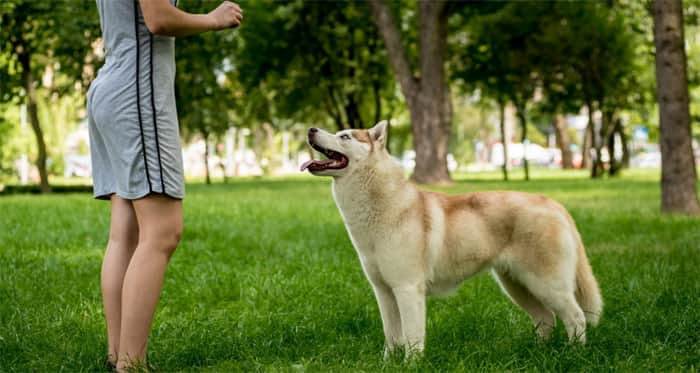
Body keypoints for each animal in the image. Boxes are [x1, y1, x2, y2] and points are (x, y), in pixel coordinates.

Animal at [300, 121, 600, 358]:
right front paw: (388, 363)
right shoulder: (383, 291)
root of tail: (552, 202)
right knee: (545, 318)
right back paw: (538, 353)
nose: (311, 129)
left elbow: (412, 337)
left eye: (345, 137)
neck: (379, 205)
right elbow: (392, 337)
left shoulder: (407, 289)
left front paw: (411, 365)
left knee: (576, 317)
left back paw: (574, 355)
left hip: (547, 283)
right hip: (517, 284)